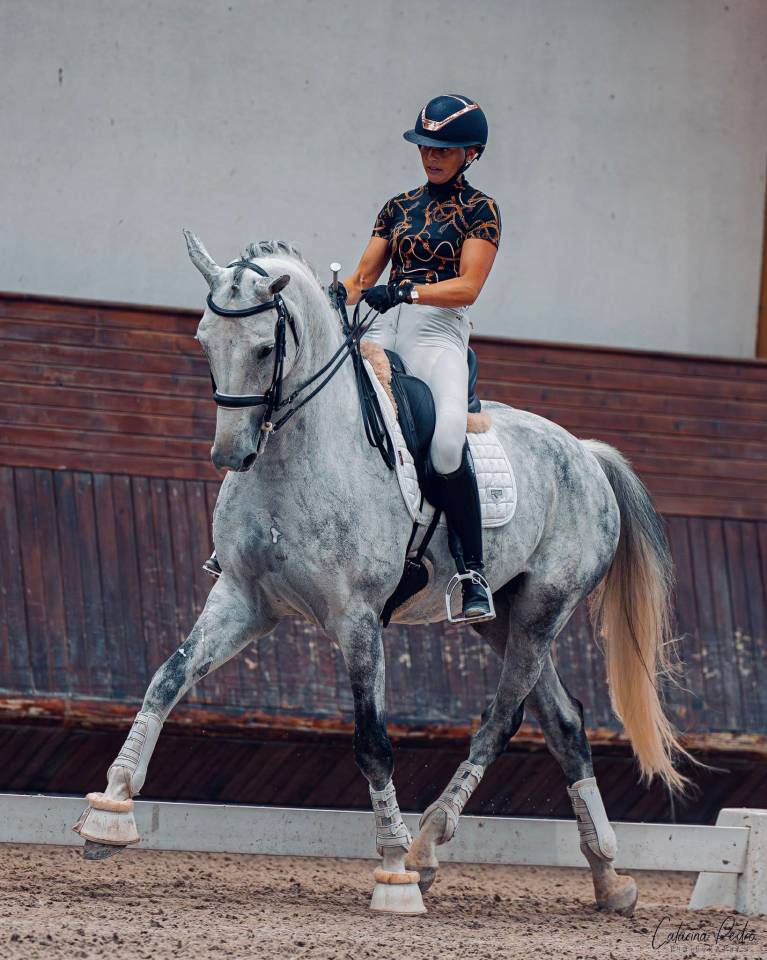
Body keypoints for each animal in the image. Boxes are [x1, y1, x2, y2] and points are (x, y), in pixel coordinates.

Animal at [73, 231, 691, 917]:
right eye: (204, 339)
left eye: (264, 348)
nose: (230, 454)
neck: (299, 453)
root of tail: (585, 453)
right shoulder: (243, 598)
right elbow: (168, 677)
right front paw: (109, 811)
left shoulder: (357, 618)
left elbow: (372, 740)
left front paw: (393, 868)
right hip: (502, 618)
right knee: (565, 724)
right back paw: (609, 877)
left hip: (543, 610)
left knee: (502, 720)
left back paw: (425, 848)